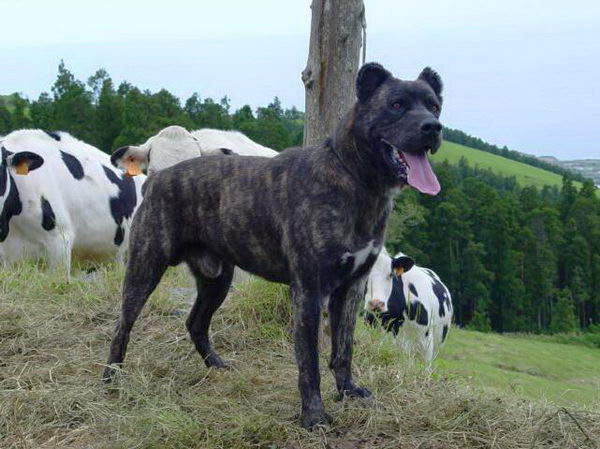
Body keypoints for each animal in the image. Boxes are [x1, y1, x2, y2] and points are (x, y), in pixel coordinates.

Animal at [102, 63, 440, 428]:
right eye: (396, 105)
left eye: (434, 106)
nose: (433, 127)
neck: (353, 178)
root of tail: (155, 179)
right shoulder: (308, 291)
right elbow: (309, 361)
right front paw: (314, 414)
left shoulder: (350, 288)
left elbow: (343, 349)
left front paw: (348, 390)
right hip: (145, 267)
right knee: (123, 324)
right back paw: (111, 378)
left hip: (217, 280)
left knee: (196, 323)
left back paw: (216, 365)